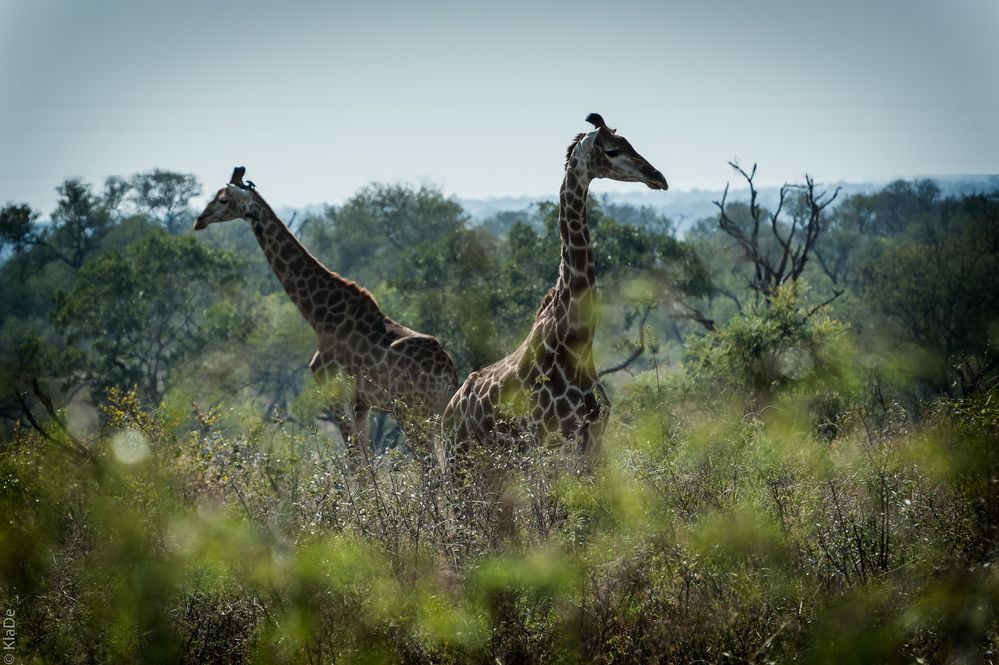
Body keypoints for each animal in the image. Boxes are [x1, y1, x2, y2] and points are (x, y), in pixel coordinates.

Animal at [195, 169, 460, 454]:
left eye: (223, 199)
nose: (199, 220)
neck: (319, 314)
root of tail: (450, 377)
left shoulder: (333, 390)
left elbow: (355, 458)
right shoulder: (362, 403)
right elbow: (366, 454)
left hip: (410, 410)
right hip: (432, 415)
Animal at [442, 113, 668, 466]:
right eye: (613, 150)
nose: (658, 177)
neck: (575, 342)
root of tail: (446, 416)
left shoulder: (592, 442)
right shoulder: (544, 445)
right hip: (460, 464)